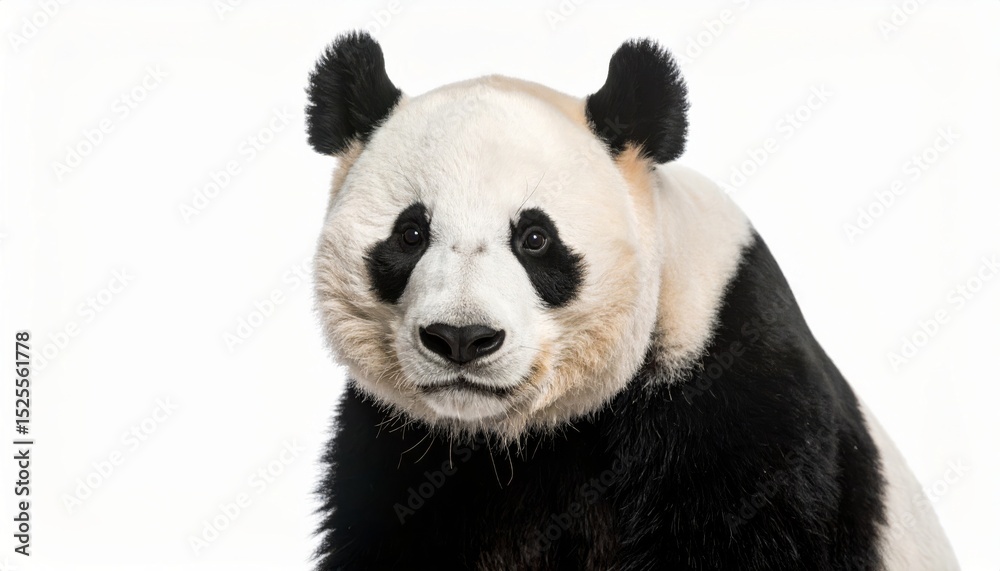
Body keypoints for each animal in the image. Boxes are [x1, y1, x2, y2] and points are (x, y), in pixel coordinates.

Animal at [305, 31, 959, 570]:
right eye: (411, 234)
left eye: (535, 238)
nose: (462, 338)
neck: (521, 440)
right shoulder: (402, 453)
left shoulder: (734, 393)